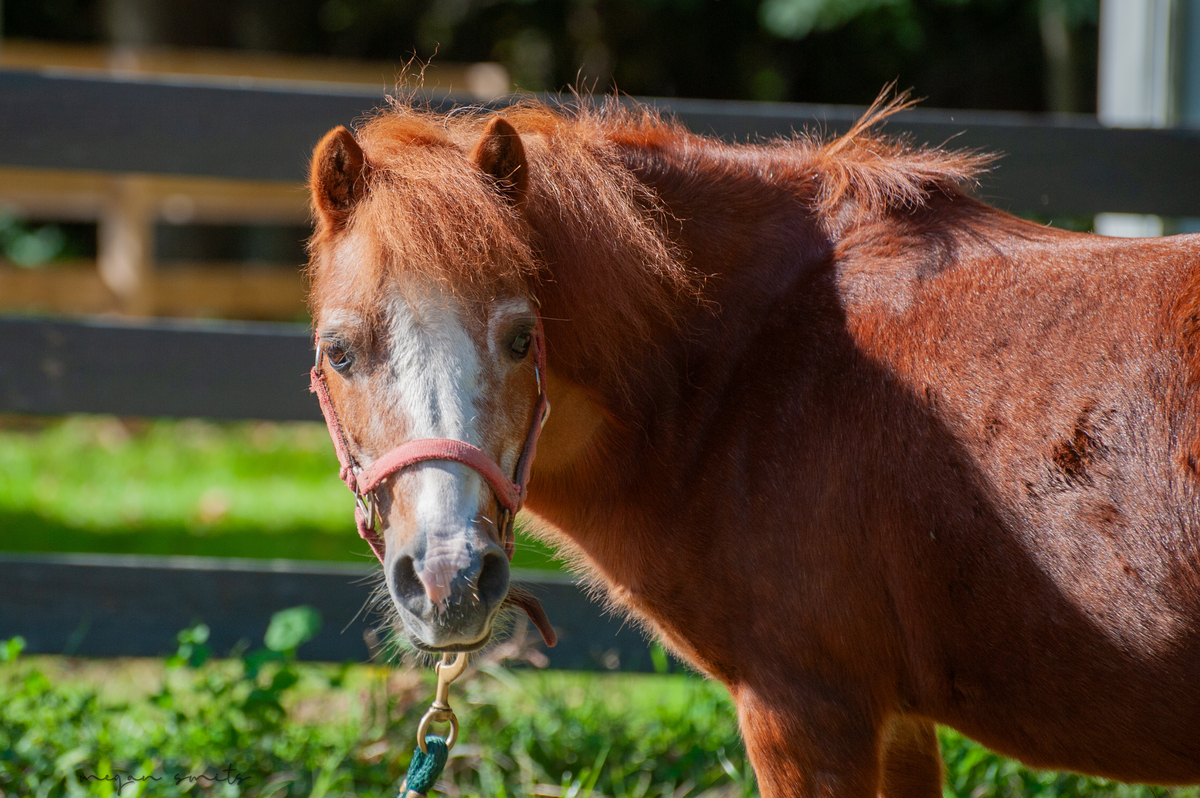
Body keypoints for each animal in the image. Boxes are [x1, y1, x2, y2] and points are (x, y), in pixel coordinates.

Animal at [304, 95, 1200, 797]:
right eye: (338, 351)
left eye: (523, 338)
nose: (448, 579)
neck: (750, 364)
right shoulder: (899, 722)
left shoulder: (805, 711)